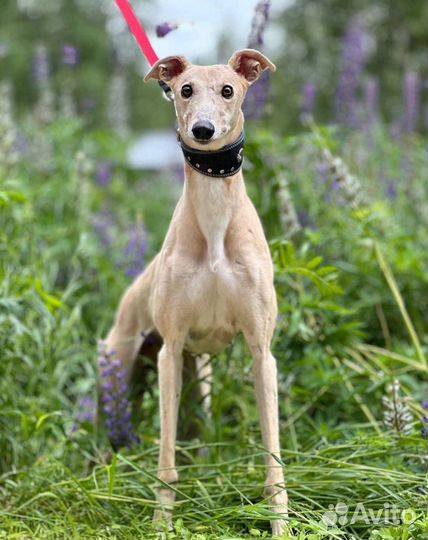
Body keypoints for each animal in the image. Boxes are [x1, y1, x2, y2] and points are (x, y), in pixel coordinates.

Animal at [102, 49, 288, 536]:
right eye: (184, 90)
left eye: (228, 90)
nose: (202, 130)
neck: (215, 223)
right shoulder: (170, 350)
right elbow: (166, 463)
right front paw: (161, 523)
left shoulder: (262, 352)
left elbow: (274, 459)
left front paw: (281, 523)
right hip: (121, 369)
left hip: (197, 381)